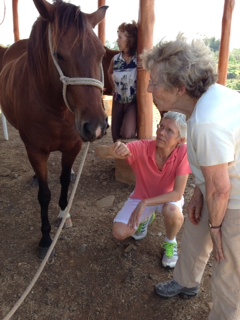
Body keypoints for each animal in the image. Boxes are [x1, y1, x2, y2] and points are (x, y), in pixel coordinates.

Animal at [0, 0, 108, 258]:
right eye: (59, 55)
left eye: (101, 54)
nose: (96, 127)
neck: (54, 108)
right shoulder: (36, 151)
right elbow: (44, 194)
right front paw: (46, 238)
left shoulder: (73, 146)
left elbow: (65, 181)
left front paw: (63, 214)